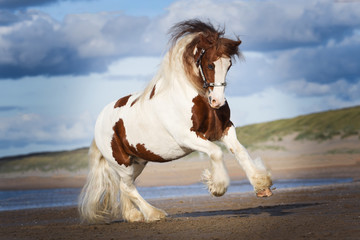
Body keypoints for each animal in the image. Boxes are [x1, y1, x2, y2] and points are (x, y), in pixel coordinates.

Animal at [78, 19, 270, 224]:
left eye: (229, 64)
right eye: (210, 65)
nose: (217, 102)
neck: (193, 95)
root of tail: (100, 120)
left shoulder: (224, 129)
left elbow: (239, 151)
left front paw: (262, 186)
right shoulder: (188, 137)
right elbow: (216, 152)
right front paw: (216, 187)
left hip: (137, 162)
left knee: (124, 186)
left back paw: (134, 216)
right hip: (121, 164)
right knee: (128, 187)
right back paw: (154, 214)